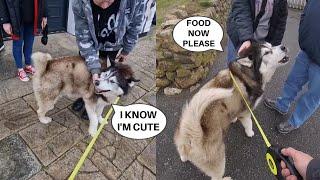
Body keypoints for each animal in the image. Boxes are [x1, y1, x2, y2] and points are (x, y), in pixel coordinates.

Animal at [175, 43, 290, 179]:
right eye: (267, 52)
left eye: (271, 45)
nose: (283, 47)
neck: (246, 75)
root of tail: (192, 133)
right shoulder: (246, 112)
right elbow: (249, 124)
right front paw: (250, 132)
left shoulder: (238, 109)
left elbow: (235, 114)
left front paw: (233, 119)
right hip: (219, 161)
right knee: (216, 177)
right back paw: (226, 178)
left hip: (182, 139)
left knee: (181, 150)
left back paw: (184, 157)